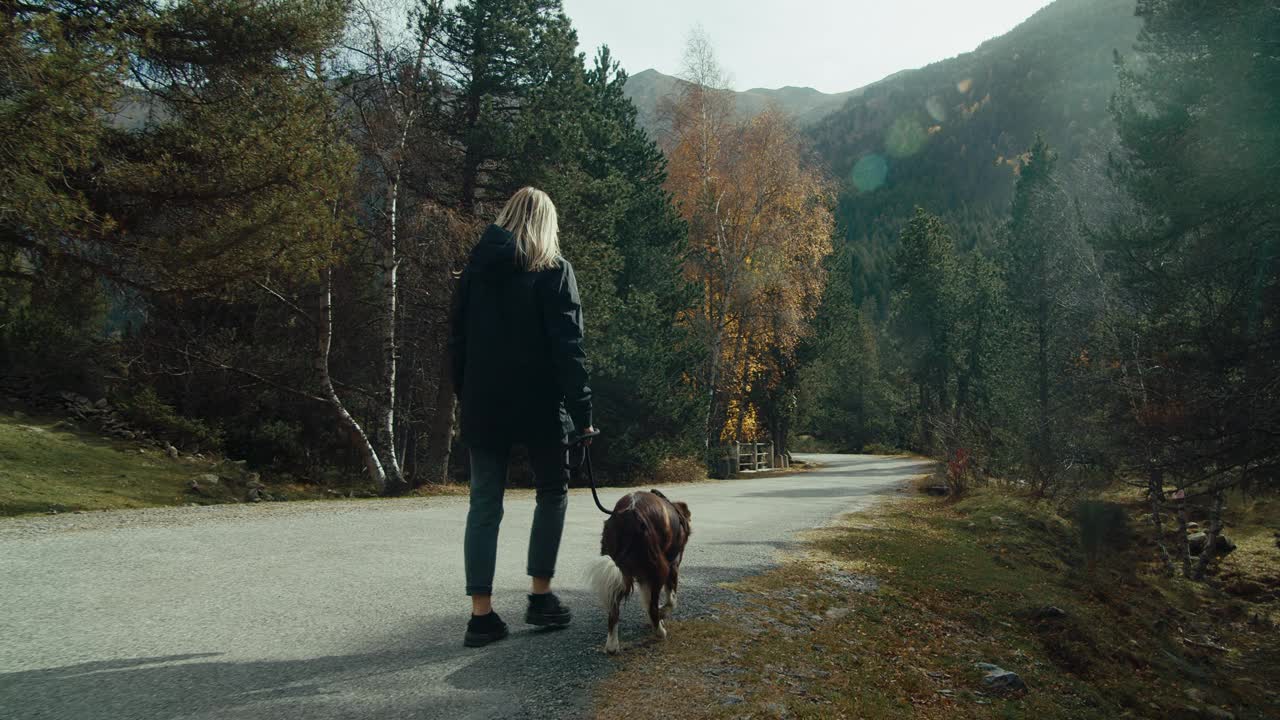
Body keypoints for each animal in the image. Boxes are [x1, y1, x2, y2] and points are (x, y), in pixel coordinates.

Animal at [586, 486, 691, 650]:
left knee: (613, 610)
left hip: (620, 569)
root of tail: (630, 513)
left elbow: (647, 601)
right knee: (652, 607)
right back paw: (660, 632)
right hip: (659, 569)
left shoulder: (643, 576)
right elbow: (670, 600)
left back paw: (612, 645)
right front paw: (662, 614)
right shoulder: (673, 564)